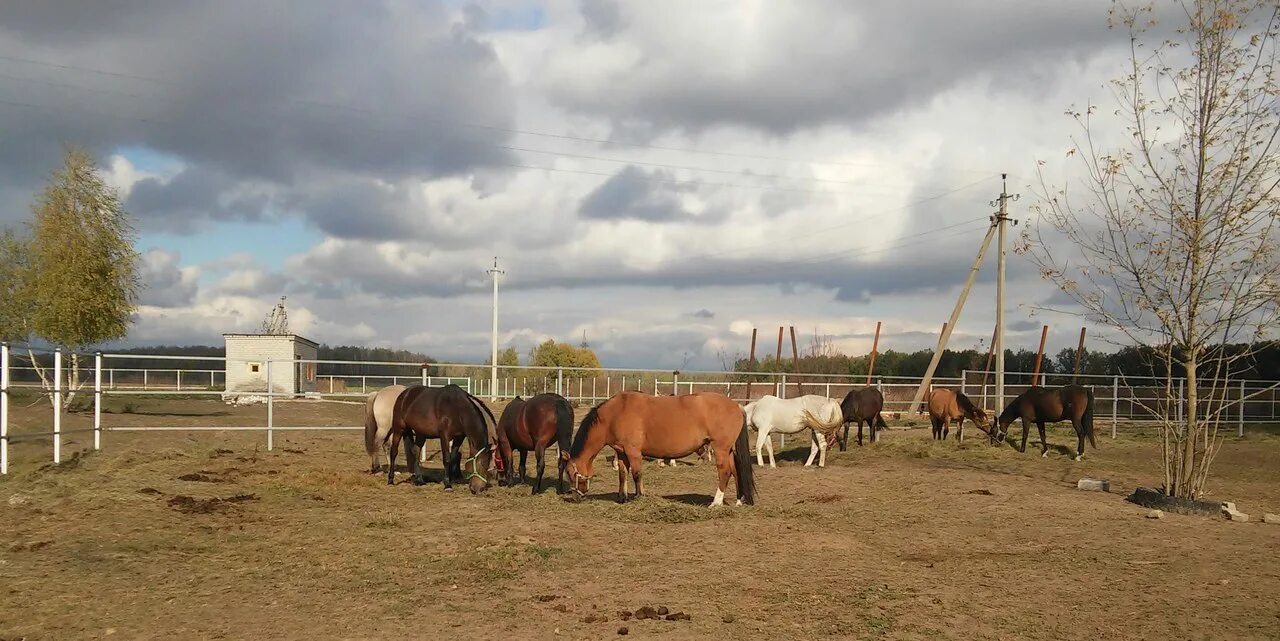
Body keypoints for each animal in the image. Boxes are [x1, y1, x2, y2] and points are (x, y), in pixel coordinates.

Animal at [565, 388, 752, 504]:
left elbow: (637, 474)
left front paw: (639, 496)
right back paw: (739, 500)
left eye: (570, 473)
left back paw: (716, 502)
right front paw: (622, 497)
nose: (575, 497)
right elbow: (622, 475)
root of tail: (737, 405)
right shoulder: (622, 452)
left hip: (720, 449)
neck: (615, 414)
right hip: (727, 450)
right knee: (735, 470)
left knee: (725, 472)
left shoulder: (633, 452)